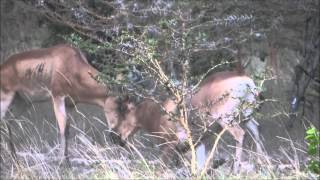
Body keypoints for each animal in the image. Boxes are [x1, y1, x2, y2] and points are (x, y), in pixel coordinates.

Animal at [109, 69, 264, 173]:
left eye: (123, 111)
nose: (115, 137)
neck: (158, 113)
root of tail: (247, 82)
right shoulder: (197, 143)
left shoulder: (170, 143)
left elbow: (162, 167)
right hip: (246, 116)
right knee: (256, 129)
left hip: (225, 118)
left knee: (240, 134)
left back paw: (235, 170)